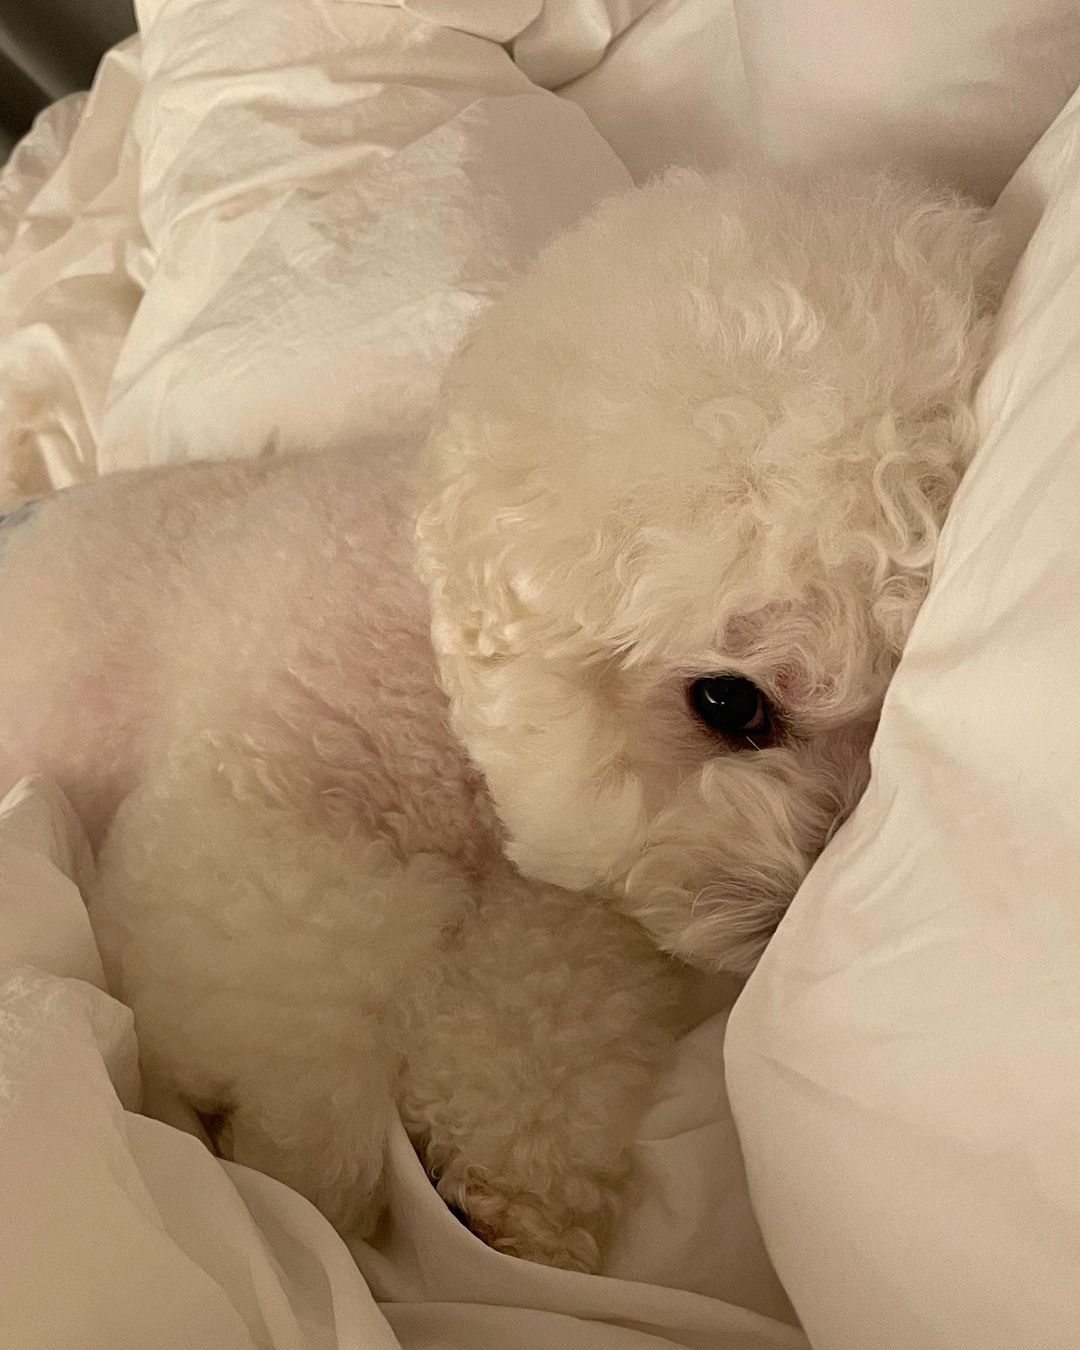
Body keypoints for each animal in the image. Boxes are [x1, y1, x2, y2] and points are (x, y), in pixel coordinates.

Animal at [0, 168, 1000, 1271]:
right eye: (730, 701)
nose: (789, 920)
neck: (426, 633)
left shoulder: (577, 901)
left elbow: (545, 997)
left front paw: (512, 1192)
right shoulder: (230, 828)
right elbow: (320, 985)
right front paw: (316, 1163)